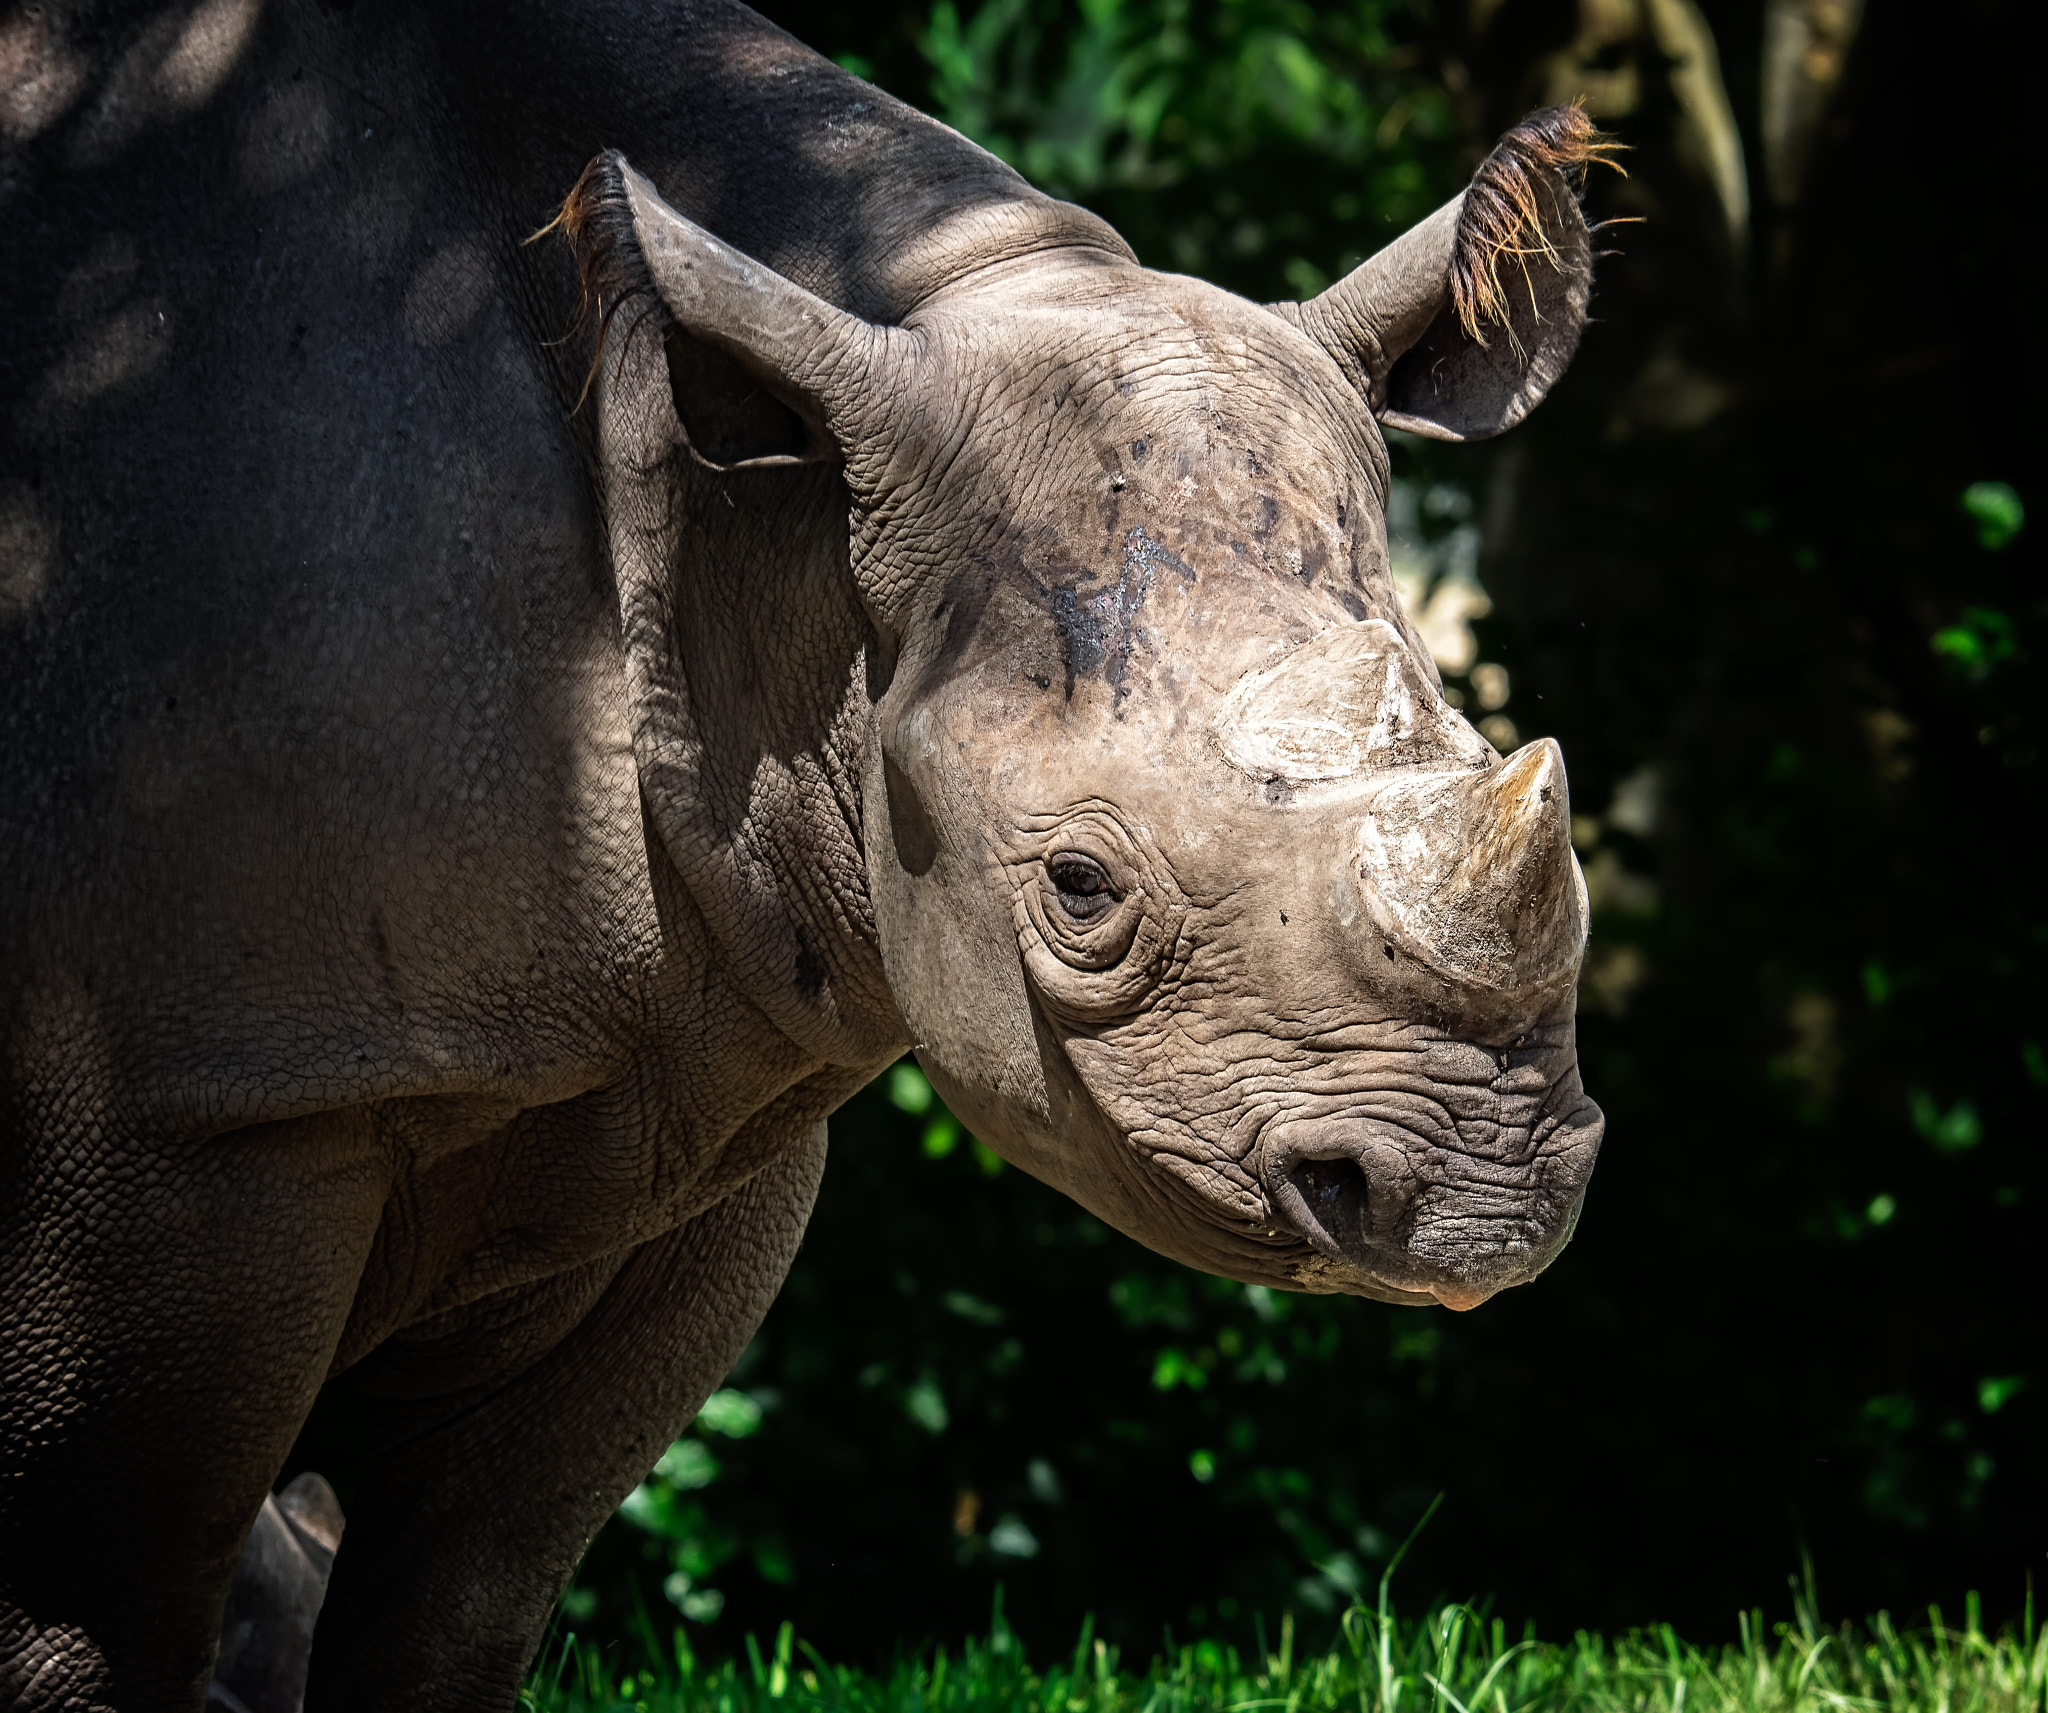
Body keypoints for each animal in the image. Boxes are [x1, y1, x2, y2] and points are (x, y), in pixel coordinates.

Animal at [0, 2, 1607, 1707]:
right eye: (1080, 889)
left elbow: (463, 1603)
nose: (1488, 1199)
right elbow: (90, 1614)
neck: (769, 563)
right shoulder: (188, 1107)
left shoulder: (706, 1106)